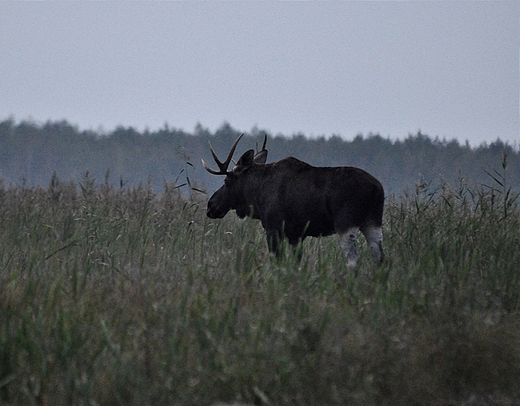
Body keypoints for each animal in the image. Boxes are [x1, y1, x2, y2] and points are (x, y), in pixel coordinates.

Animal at [201, 134, 384, 266]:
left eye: (227, 181)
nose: (211, 205)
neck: (257, 195)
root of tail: (377, 189)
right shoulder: (297, 235)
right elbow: (296, 263)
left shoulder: (273, 229)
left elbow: (278, 261)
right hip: (373, 221)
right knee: (380, 257)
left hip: (346, 222)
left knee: (353, 259)